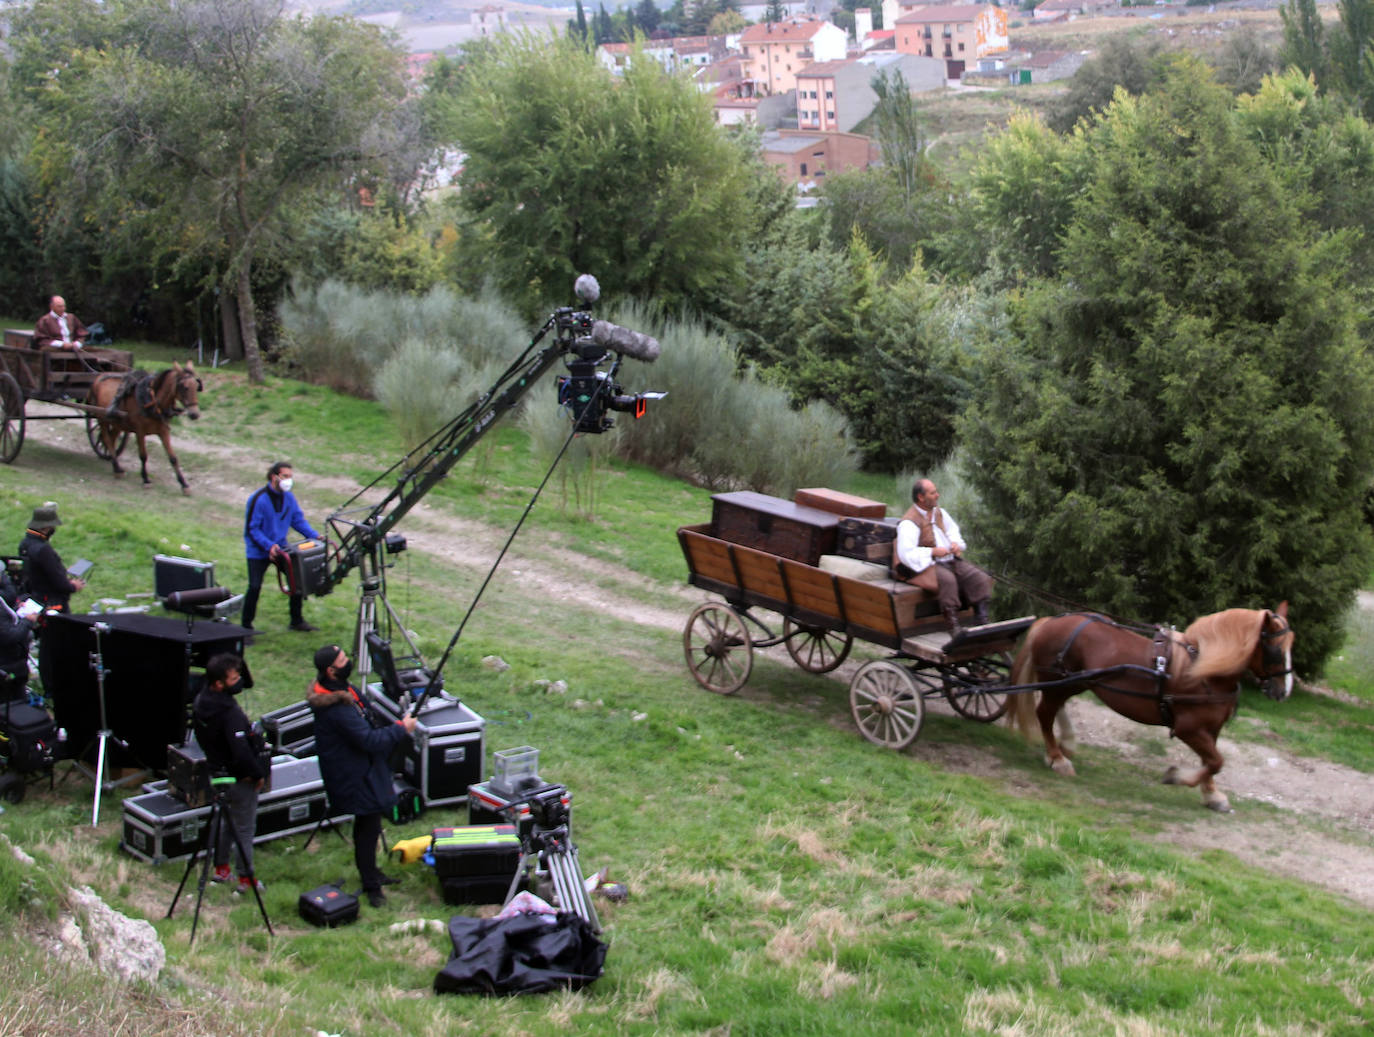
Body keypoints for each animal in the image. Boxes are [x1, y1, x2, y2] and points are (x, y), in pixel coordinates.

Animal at [85, 365, 201, 494]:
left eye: (197, 386)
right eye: (184, 387)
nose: (195, 414)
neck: (152, 401)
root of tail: (98, 377)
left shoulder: (164, 431)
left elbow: (173, 458)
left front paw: (184, 484)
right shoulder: (140, 431)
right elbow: (143, 456)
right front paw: (145, 479)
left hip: (117, 422)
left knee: (111, 439)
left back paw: (116, 466)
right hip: (102, 419)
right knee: (106, 438)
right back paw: (117, 468)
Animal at [1005, 604, 1291, 813]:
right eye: (1276, 651)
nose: (1284, 691)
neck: (1205, 672)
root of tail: (1050, 621)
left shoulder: (1211, 728)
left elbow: (1211, 761)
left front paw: (1211, 794)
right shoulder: (1188, 729)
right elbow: (1216, 761)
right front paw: (1177, 777)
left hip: (1072, 682)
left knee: (1056, 708)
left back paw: (1066, 743)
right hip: (1059, 680)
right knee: (1044, 713)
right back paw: (1057, 758)